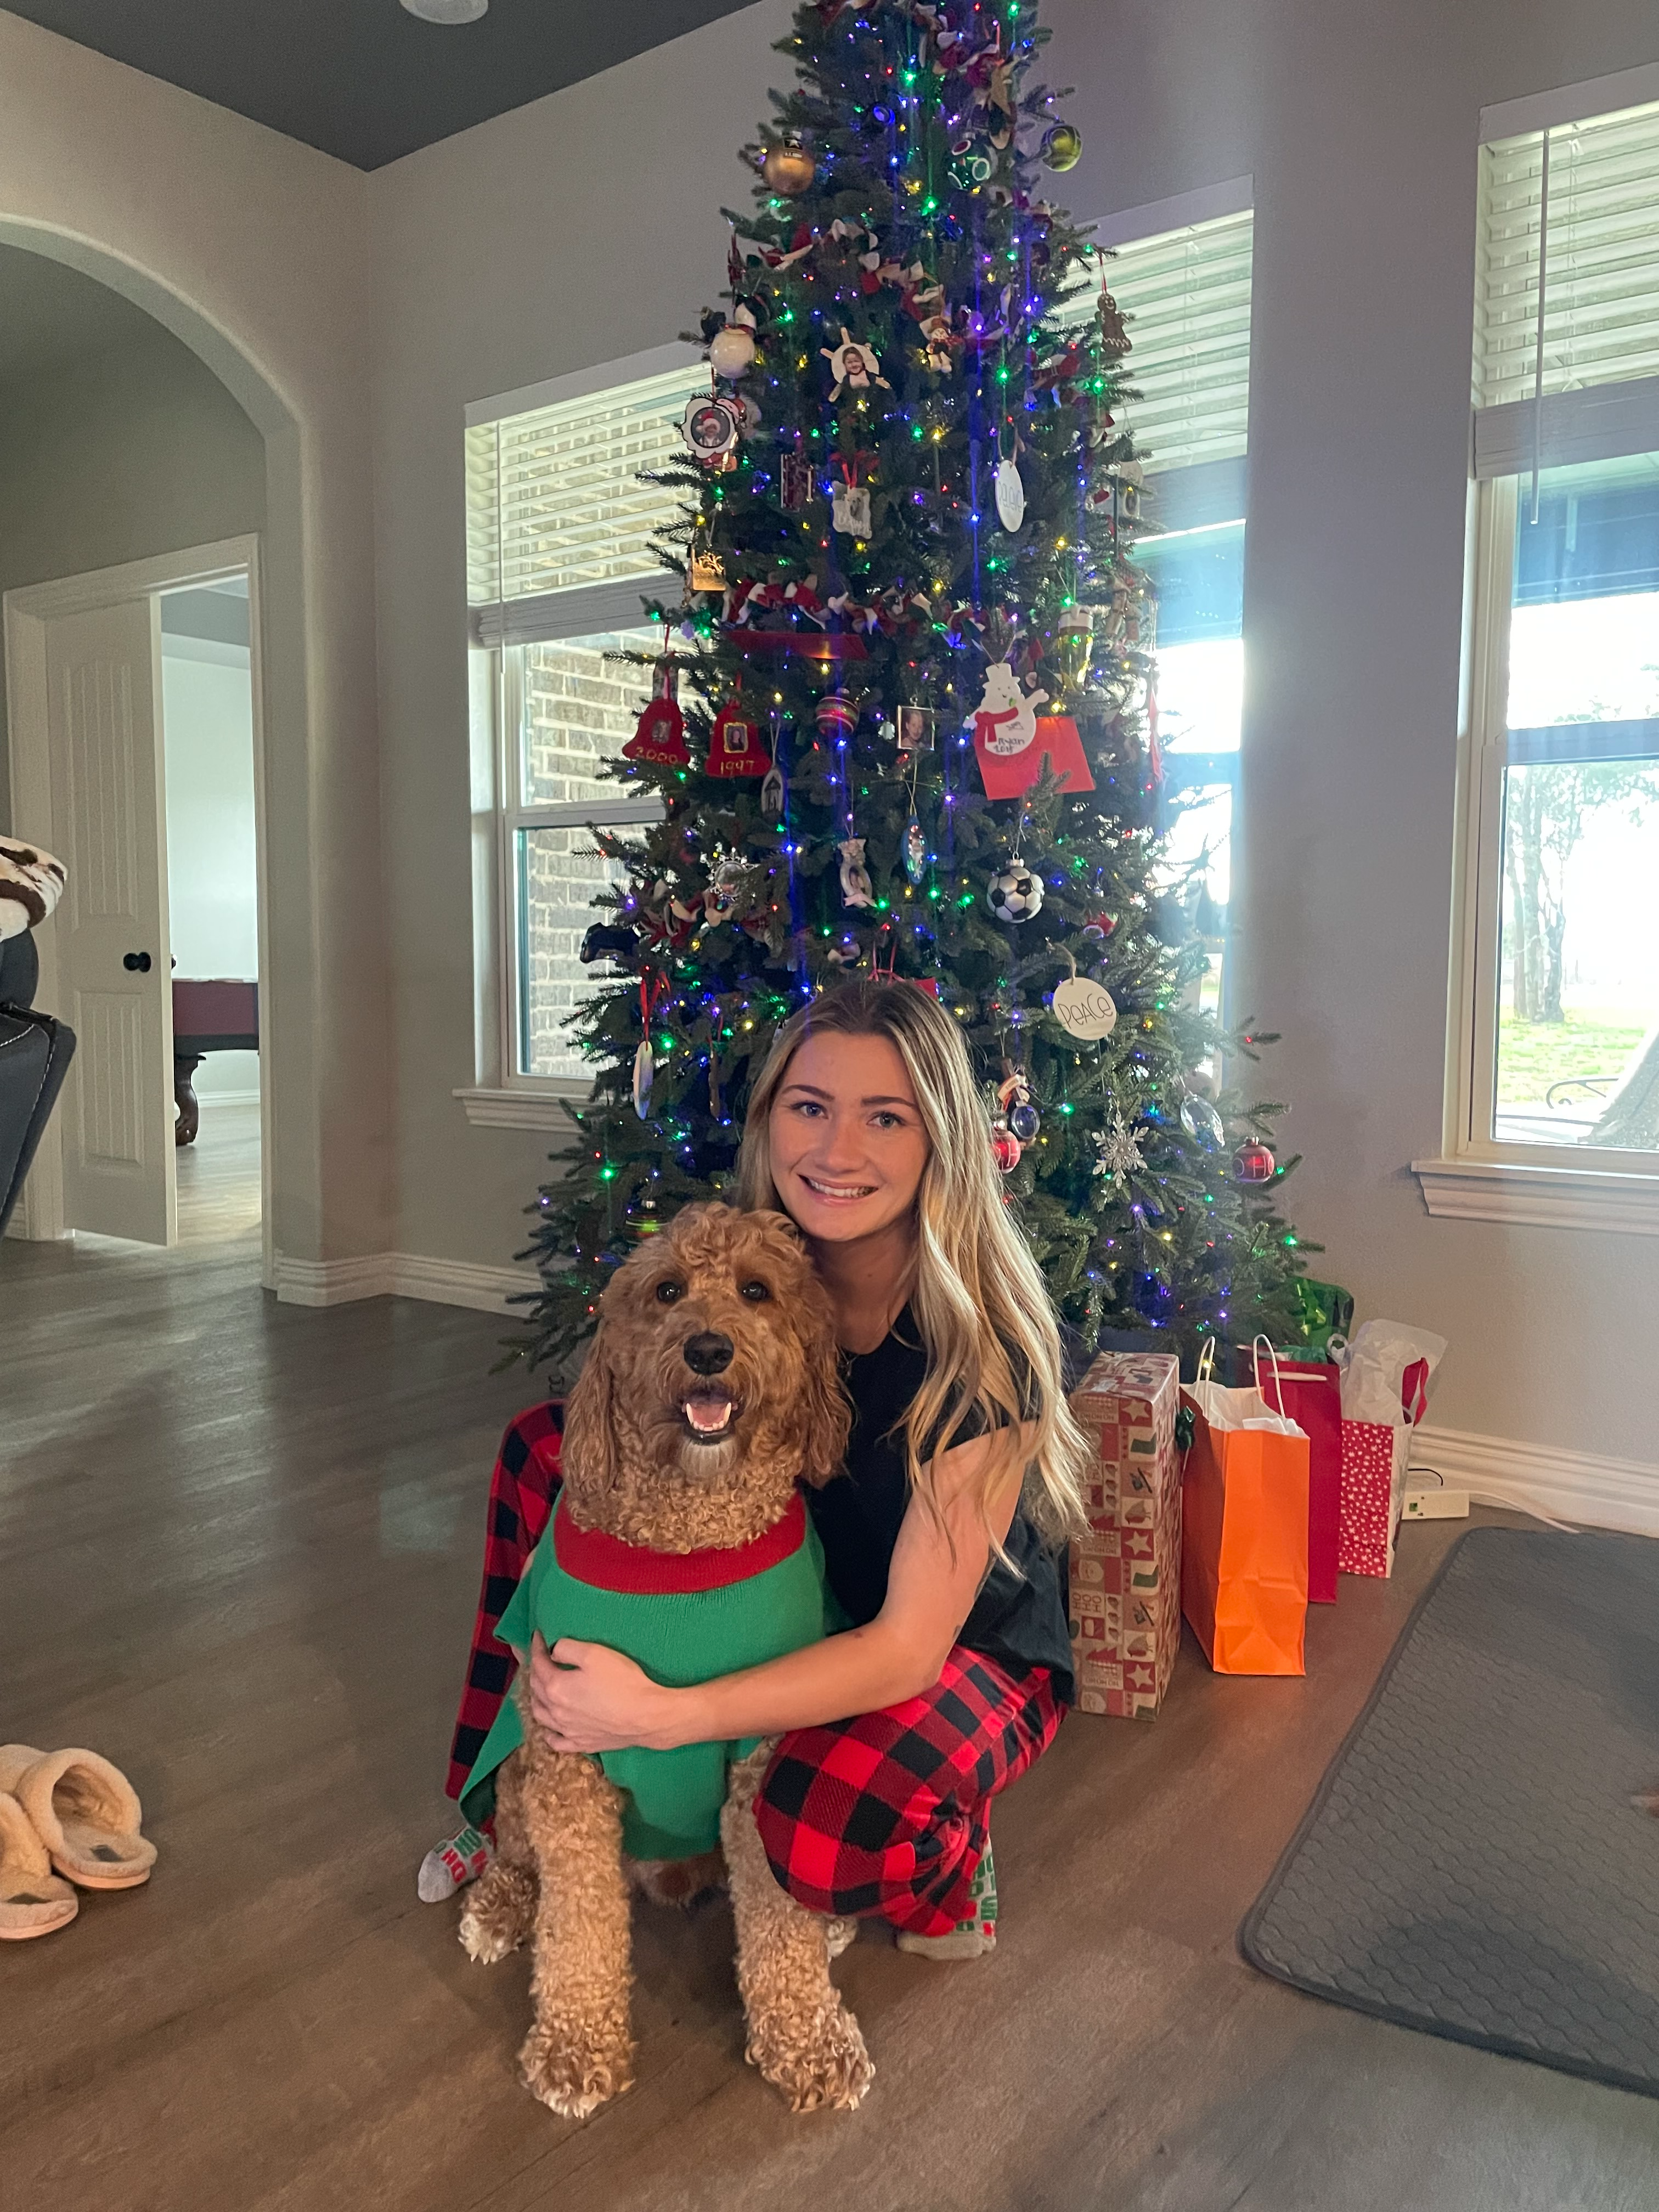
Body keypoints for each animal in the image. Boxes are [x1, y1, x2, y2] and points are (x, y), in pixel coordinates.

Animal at [455, 1203, 871, 2114]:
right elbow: (579, 1921)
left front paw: (808, 2040)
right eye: (667, 1291)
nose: (708, 1349)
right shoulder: (569, 1753)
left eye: (756, 1291)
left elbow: (777, 1926)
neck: (689, 1542)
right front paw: (576, 2045)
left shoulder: (759, 1746)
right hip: (520, 1739)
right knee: (515, 1846)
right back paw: (502, 1904)